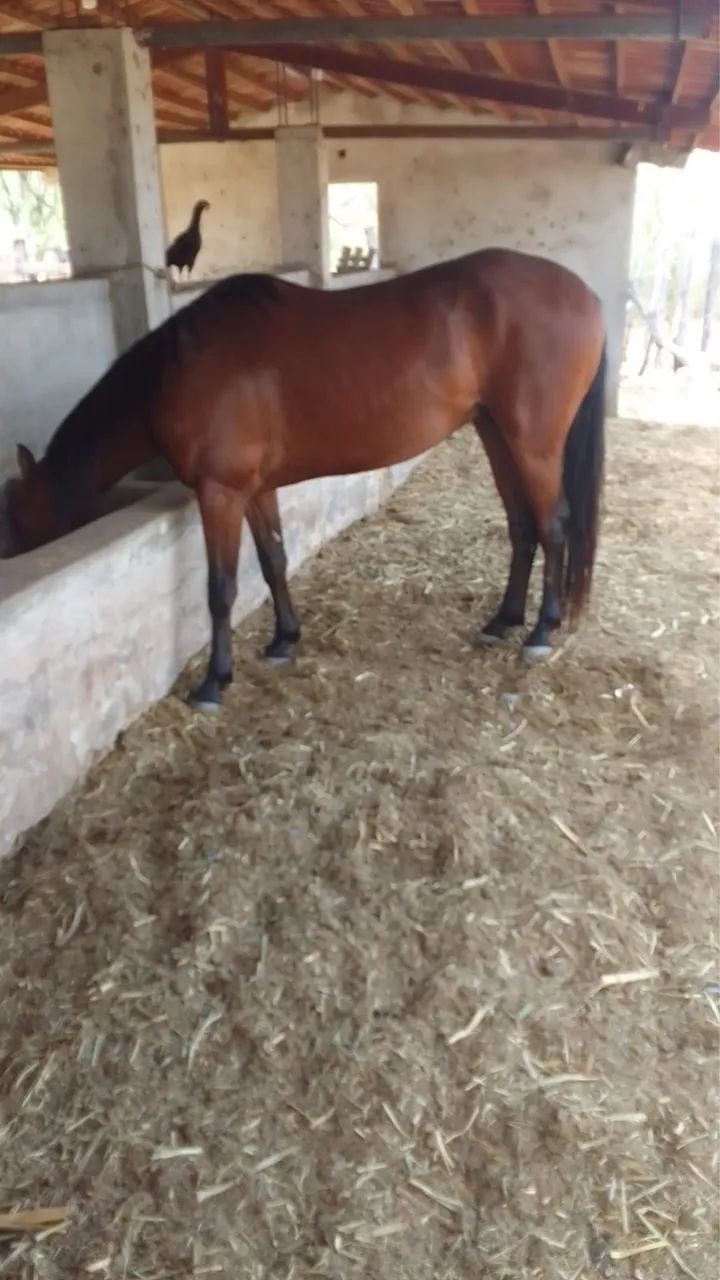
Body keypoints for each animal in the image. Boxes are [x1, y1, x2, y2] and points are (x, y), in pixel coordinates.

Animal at [1, 249, 605, 711]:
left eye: (19, 518)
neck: (180, 370)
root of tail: (587, 296)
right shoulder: (254, 489)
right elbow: (273, 559)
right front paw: (283, 640)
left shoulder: (219, 493)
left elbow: (220, 589)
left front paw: (215, 681)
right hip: (495, 434)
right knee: (522, 526)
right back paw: (503, 621)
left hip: (533, 445)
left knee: (554, 526)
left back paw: (541, 631)